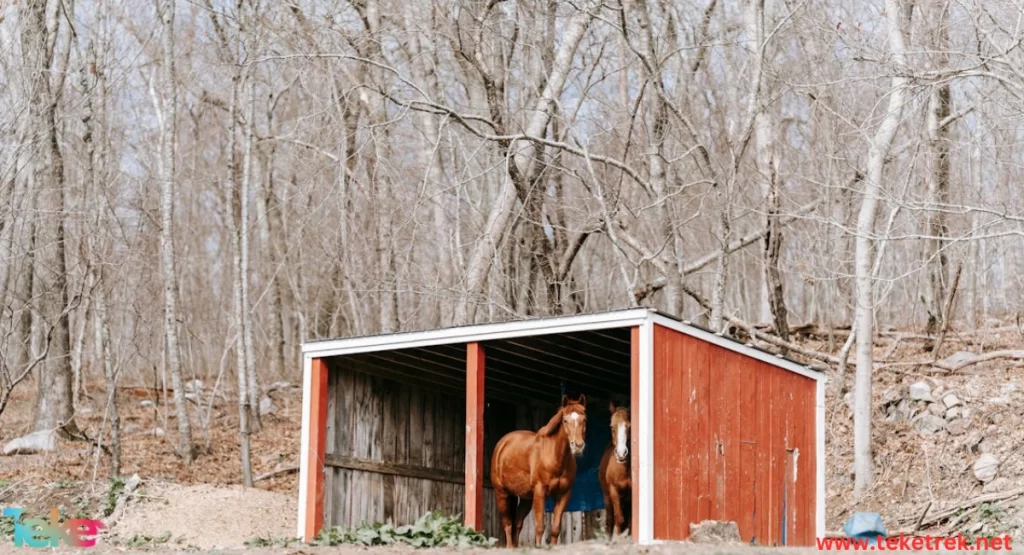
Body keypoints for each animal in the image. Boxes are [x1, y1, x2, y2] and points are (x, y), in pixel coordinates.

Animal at [489, 395, 589, 548]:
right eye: (565, 420)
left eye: (584, 419)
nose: (577, 446)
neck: (553, 456)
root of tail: (502, 443)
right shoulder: (540, 492)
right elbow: (540, 527)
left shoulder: (564, 494)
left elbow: (555, 528)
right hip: (502, 493)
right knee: (508, 523)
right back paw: (510, 547)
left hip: (526, 498)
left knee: (518, 524)